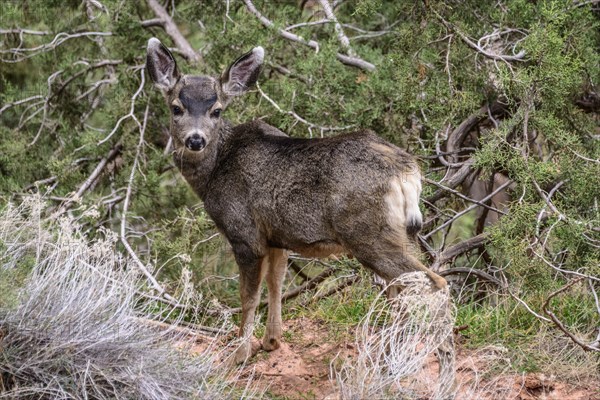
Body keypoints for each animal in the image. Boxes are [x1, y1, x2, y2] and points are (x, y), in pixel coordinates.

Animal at [145, 39, 446, 364]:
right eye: (176, 108)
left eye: (217, 110)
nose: (195, 140)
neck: (216, 170)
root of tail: (407, 171)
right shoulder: (277, 237)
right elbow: (275, 283)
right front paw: (271, 341)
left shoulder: (245, 234)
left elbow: (248, 296)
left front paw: (239, 354)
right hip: (403, 232)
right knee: (404, 285)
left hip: (368, 232)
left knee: (432, 282)